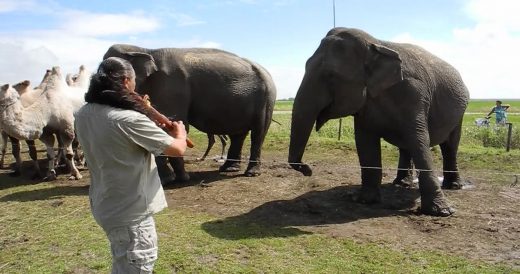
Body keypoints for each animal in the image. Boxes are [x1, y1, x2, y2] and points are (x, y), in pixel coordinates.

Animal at [103, 44, 278, 180]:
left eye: (111, 75)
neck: (145, 49)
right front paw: (171, 178)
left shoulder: (171, 87)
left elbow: (172, 124)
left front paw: (176, 179)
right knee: (238, 135)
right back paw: (228, 168)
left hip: (267, 99)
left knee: (258, 133)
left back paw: (251, 173)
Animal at [290, 27, 470, 216]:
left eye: (330, 75)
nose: (307, 169)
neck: (376, 45)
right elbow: (365, 143)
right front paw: (363, 200)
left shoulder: (414, 94)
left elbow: (420, 140)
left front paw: (442, 212)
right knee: (407, 145)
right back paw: (401, 184)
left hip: (460, 112)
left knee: (450, 145)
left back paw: (453, 186)